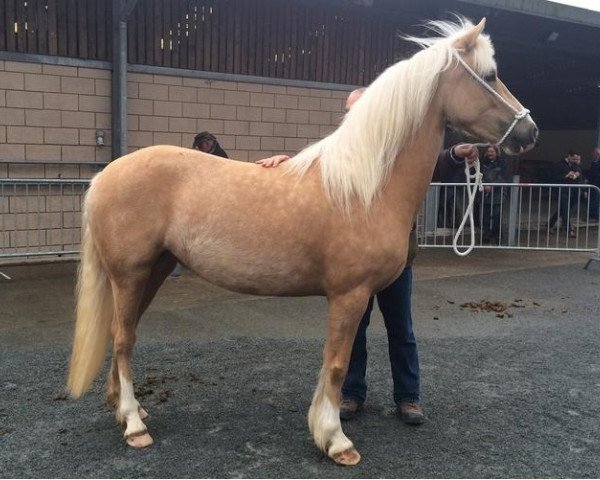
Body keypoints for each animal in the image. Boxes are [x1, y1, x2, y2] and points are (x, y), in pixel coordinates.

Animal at [68, 18, 536, 464]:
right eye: (490, 75)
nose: (529, 132)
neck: (365, 186)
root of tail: (105, 176)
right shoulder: (349, 294)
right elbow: (337, 363)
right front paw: (335, 440)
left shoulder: (357, 295)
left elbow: (342, 362)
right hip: (130, 275)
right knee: (123, 340)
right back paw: (134, 426)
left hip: (154, 271)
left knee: (122, 333)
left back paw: (127, 408)